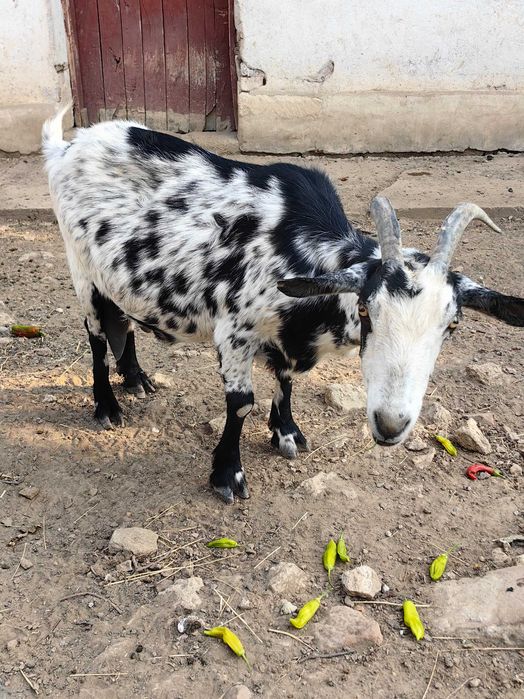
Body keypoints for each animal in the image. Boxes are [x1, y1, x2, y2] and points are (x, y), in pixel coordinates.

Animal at [42, 107, 524, 503]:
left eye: (452, 325)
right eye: (366, 310)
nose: (390, 426)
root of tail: (67, 146)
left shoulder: (287, 338)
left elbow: (287, 380)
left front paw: (286, 432)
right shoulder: (234, 333)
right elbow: (241, 404)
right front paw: (227, 475)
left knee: (122, 319)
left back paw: (137, 379)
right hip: (81, 270)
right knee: (97, 337)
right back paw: (107, 406)